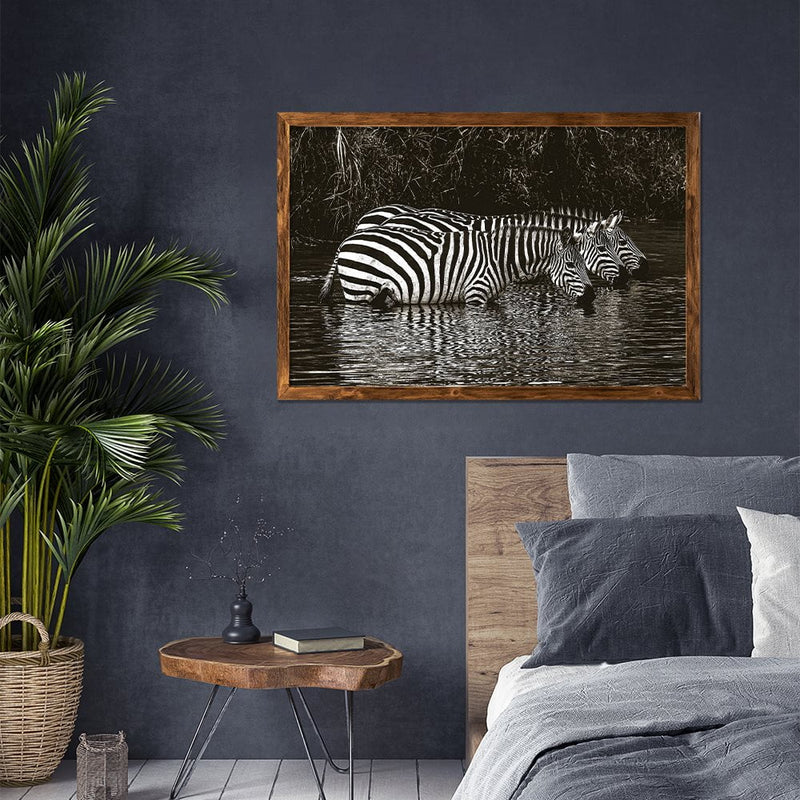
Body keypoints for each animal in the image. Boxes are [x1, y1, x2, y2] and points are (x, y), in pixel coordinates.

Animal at [318, 224, 595, 309]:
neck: (500, 258)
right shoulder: (476, 295)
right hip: (360, 291)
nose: (592, 297)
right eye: (571, 264)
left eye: (585, 263)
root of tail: (346, 240)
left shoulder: (490, 298)